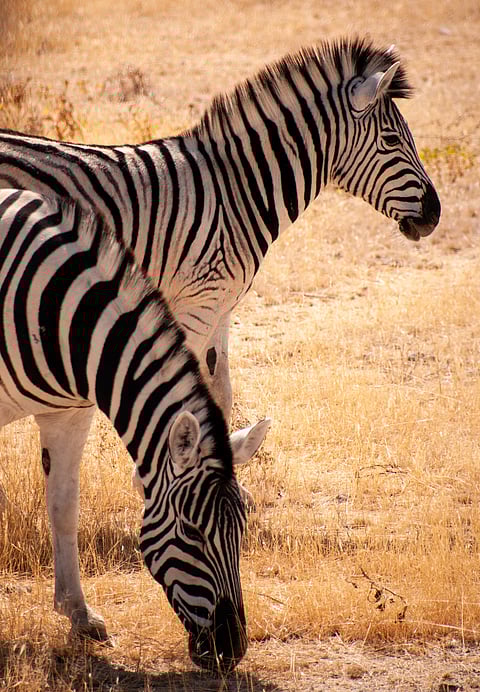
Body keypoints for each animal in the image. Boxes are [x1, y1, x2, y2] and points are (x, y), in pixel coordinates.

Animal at [0, 36, 441, 421]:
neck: (238, 189)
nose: (435, 214)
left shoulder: (221, 306)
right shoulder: (196, 306)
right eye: (391, 140)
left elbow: (222, 395)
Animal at [0, 188, 271, 672]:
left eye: (242, 528)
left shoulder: (70, 413)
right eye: (191, 532)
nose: (231, 651)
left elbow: (64, 507)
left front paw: (79, 614)